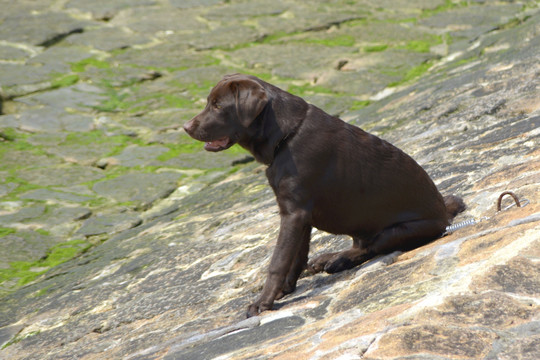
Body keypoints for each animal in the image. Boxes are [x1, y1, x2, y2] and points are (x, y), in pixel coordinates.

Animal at [184, 74, 466, 318]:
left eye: (218, 105)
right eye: (209, 102)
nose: (186, 127)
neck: (284, 137)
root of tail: (445, 212)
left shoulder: (293, 213)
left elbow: (278, 261)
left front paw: (263, 302)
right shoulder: (299, 215)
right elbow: (297, 256)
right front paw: (285, 290)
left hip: (398, 230)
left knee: (369, 248)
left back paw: (338, 260)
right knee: (360, 245)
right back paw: (329, 259)